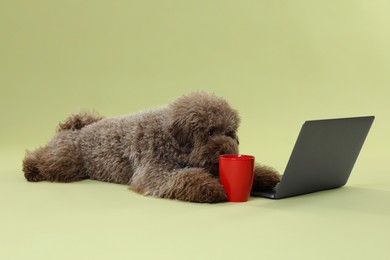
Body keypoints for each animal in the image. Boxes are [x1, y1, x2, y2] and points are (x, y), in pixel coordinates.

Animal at [22, 91, 280, 203]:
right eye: (209, 132)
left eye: (229, 132)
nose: (227, 151)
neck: (169, 139)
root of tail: (74, 128)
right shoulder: (154, 172)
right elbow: (186, 177)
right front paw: (210, 189)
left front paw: (265, 176)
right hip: (66, 161)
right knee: (43, 157)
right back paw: (30, 168)